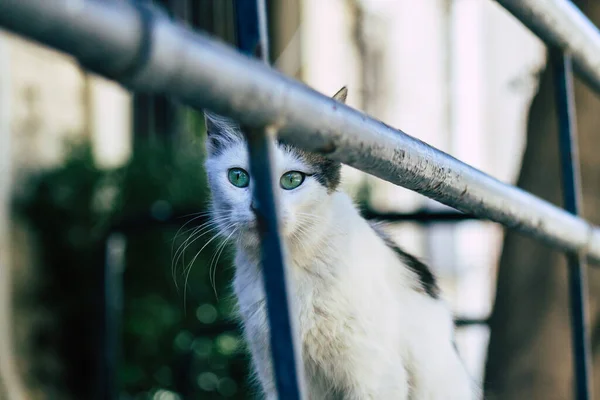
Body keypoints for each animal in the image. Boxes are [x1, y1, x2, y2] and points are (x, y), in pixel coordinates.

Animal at [204, 87, 480, 400]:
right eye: (238, 177)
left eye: (291, 180)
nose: (261, 208)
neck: (291, 265)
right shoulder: (275, 372)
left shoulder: (375, 378)